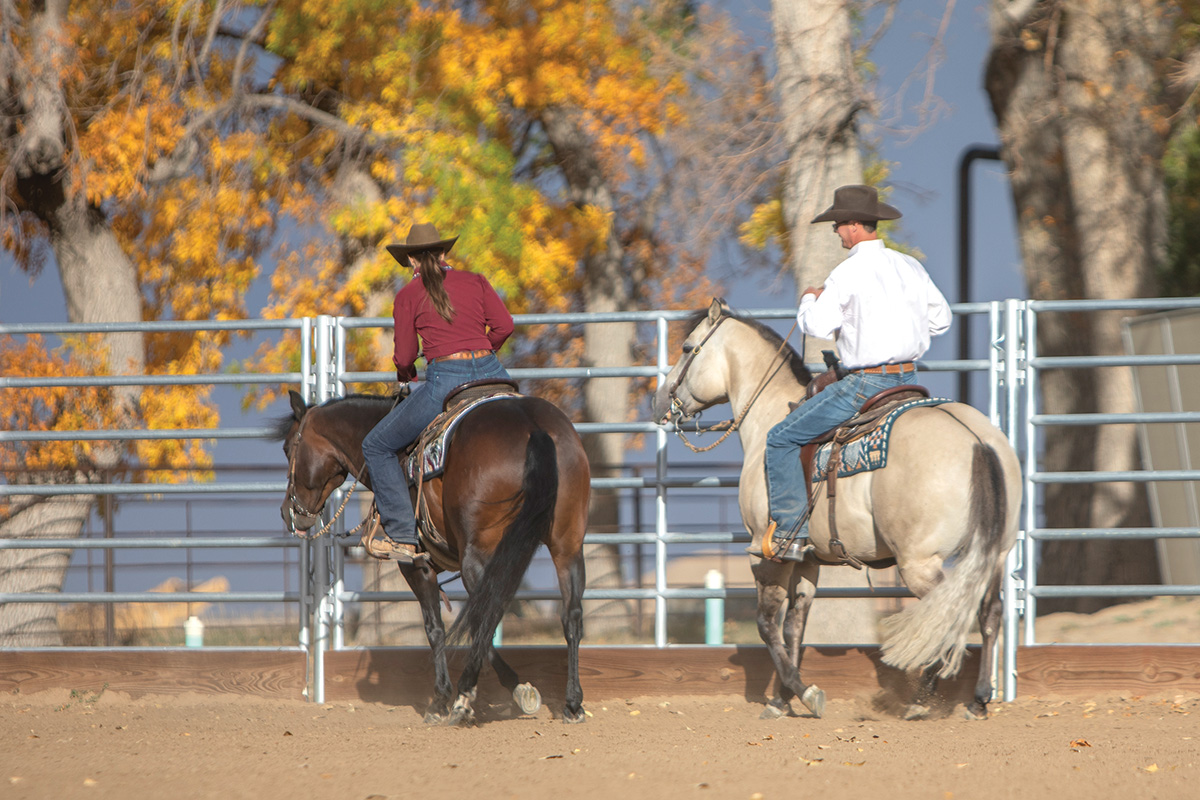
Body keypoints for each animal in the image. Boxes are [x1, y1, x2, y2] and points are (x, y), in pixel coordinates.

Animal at [273, 388, 590, 724]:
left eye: (287, 448)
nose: (287, 511)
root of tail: (533, 427)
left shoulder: (416, 566)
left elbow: (436, 628)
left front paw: (441, 700)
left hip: (477, 557)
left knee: (485, 616)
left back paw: (465, 698)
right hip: (567, 547)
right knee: (570, 615)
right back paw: (572, 704)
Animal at [652, 299, 1017, 719]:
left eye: (686, 348)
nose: (659, 402)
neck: (769, 417)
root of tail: (977, 441)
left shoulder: (765, 552)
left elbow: (766, 624)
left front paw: (804, 692)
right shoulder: (806, 559)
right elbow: (794, 626)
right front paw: (782, 699)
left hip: (921, 564)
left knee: (948, 613)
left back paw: (921, 701)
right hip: (994, 554)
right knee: (988, 613)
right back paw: (978, 698)